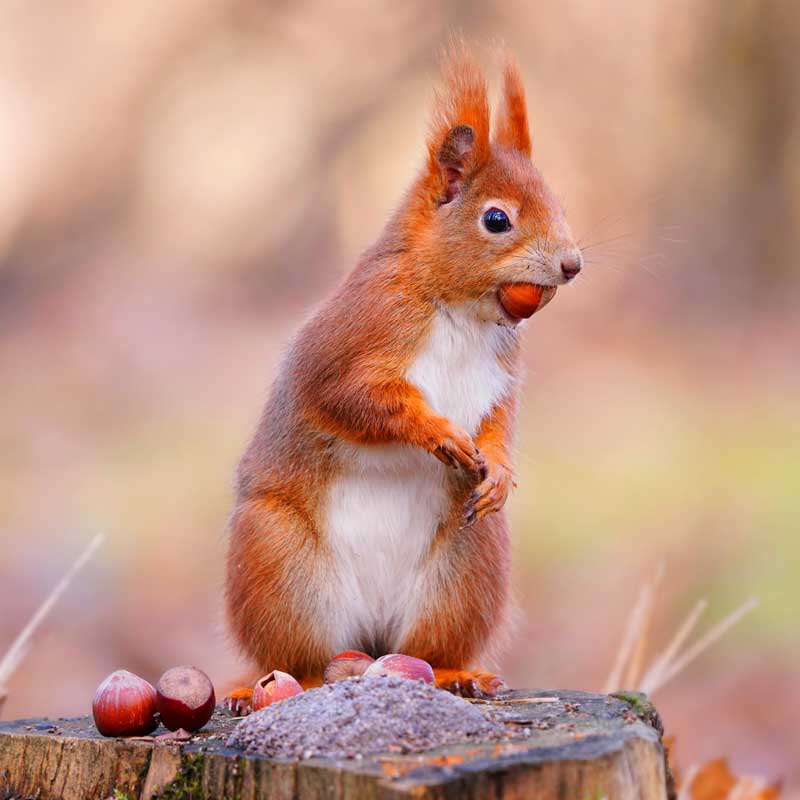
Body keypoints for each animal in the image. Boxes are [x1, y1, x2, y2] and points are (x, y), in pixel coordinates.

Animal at [225, 43, 583, 709]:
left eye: (561, 205)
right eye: (497, 219)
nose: (572, 265)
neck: (459, 308)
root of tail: (369, 637)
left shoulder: (502, 372)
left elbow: (499, 423)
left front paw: (499, 470)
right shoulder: (351, 340)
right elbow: (358, 399)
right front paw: (437, 433)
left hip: (467, 565)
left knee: (429, 646)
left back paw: (454, 674)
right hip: (278, 564)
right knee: (294, 656)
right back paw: (277, 681)